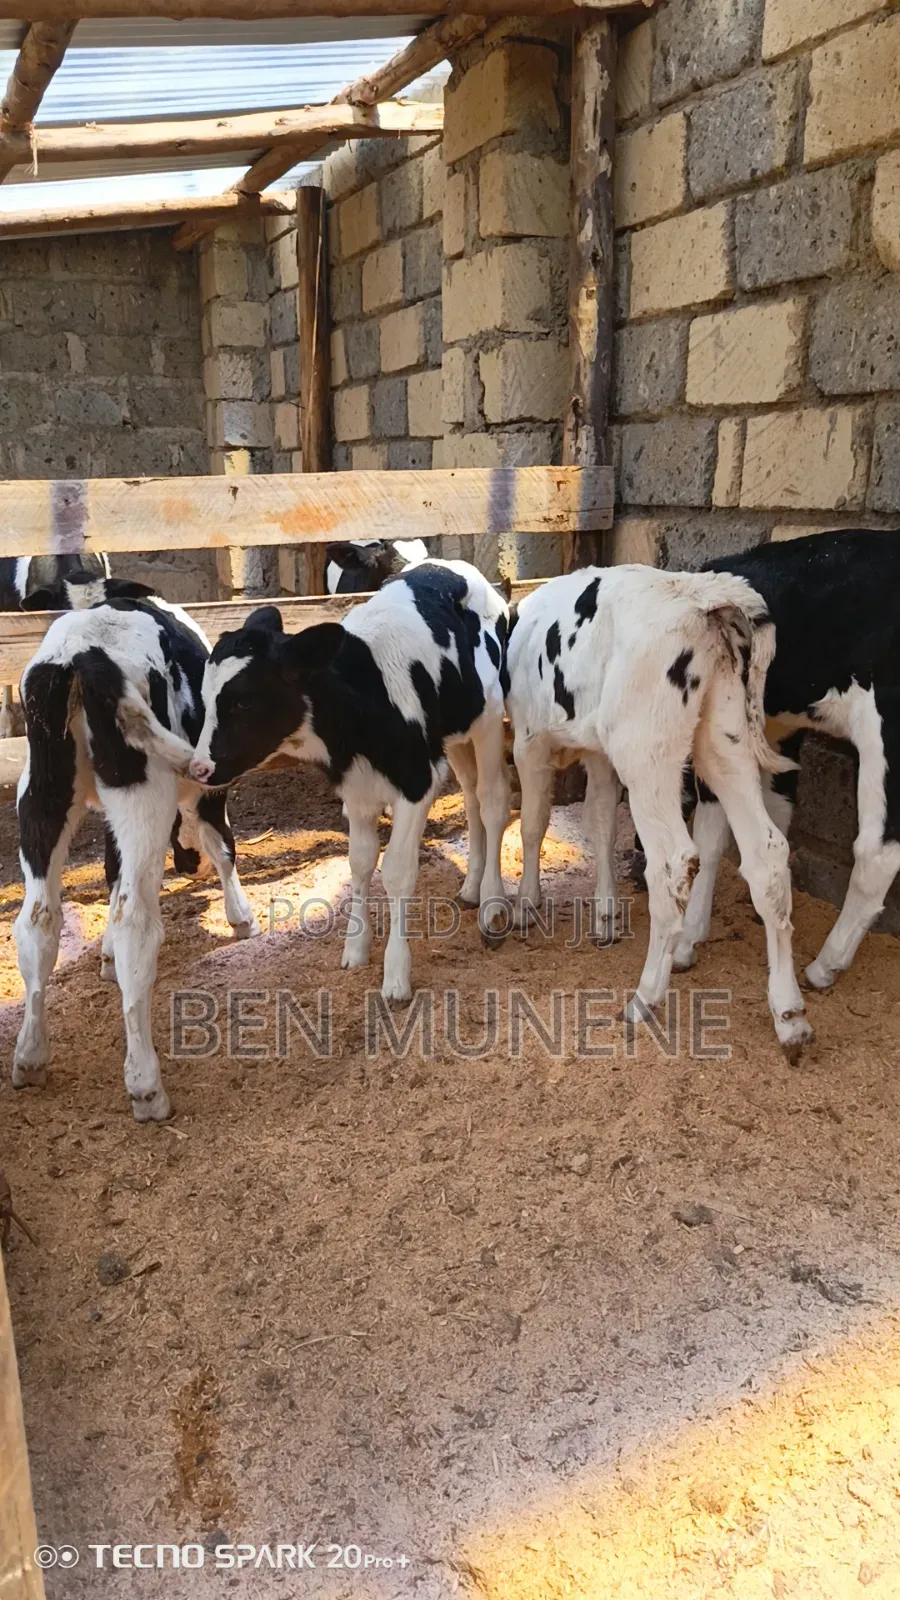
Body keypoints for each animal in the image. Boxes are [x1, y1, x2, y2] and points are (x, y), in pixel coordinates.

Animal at [12, 586, 257, 1122]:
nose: (187, 864)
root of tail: (81, 651)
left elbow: (111, 870)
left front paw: (102, 954)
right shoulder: (211, 788)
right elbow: (223, 845)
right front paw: (242, 916)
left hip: (41, 795)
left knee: (38, 921)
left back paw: (30, 1056)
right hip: (144, 793)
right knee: (136, 924)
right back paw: (146, 1085)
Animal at [189, 560, 510, 1003]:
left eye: (243, 701)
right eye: (205, 696)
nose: (199, 769)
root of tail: (459, 569)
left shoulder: (417, 781)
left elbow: (396, 871)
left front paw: (395, 973)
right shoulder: (356, 789)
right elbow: (359, 861)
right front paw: (356, 948)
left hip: (489, 718)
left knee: (493, 801)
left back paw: (493, 904)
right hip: (456, 735)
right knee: (472, 798)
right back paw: (473, 888)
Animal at [505, 564, 813, 1059]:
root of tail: (703, 594)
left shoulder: (529, 741)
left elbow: (534, 822)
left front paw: (526, 903)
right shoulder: (598, 751)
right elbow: (600, 822)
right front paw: (606, 914)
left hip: (645, 750)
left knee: (672, 862)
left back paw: (645, 997)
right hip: (723, 741)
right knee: (766, 854)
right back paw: (790, 1015)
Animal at [672, 528, 900, 991]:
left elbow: (710, 835)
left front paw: (688, 939)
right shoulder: (778, 737)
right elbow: (776, 814)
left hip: (885, 725)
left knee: (877, 851)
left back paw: (825, 966)